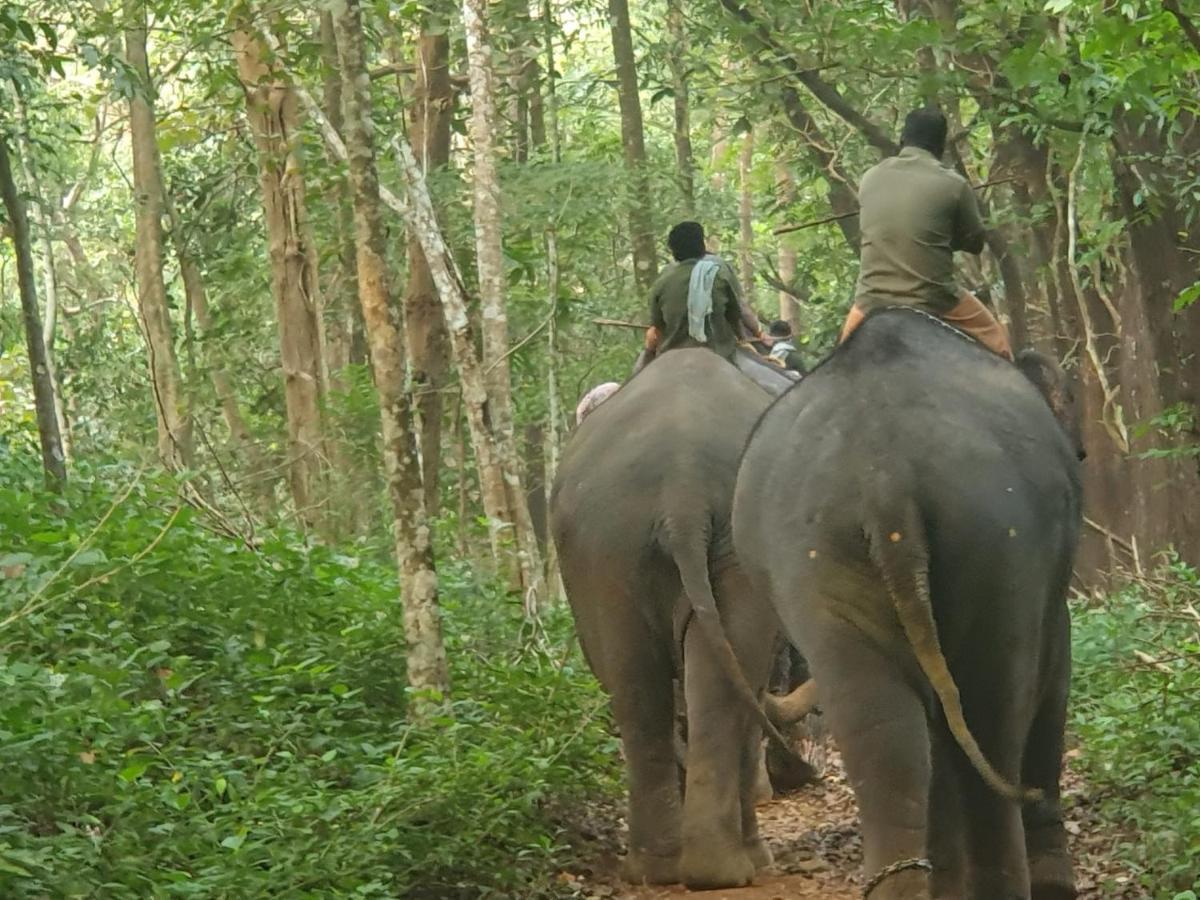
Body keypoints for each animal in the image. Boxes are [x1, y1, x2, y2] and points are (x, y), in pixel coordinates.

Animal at [549, 348, 796, 892]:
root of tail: (682, 488)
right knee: (712, 684)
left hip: (609, 542)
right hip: (644, 541)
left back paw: (674, 870)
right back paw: (721, 866)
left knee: (639, 687)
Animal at [729, 307, 1089, 897]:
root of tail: (885, 478)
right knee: (993, 710)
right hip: (999, 537)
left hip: (812, 556)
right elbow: (1055, 673)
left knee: (878, 729)